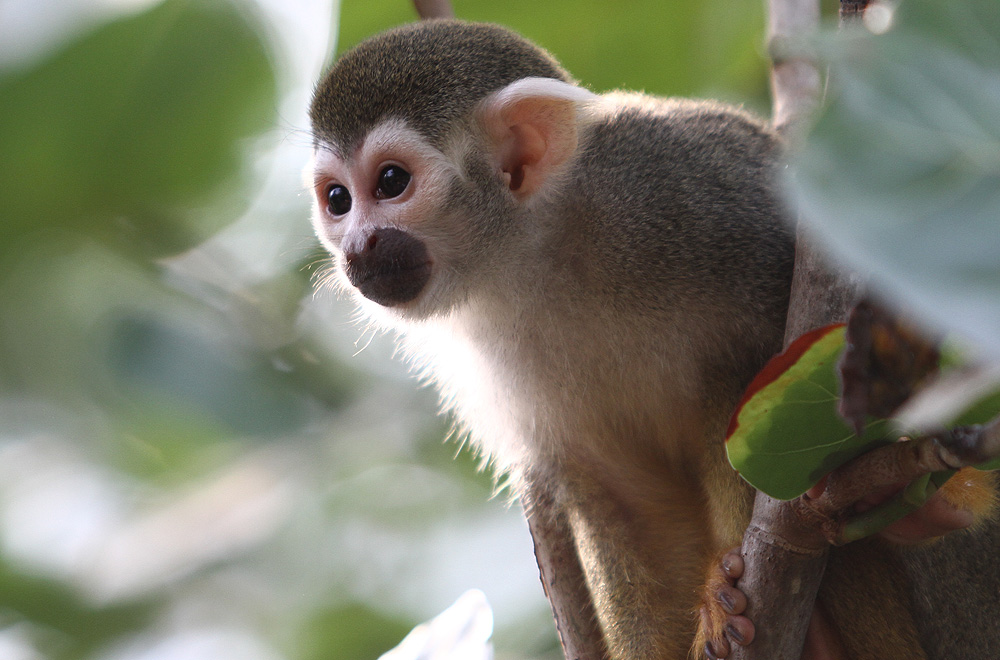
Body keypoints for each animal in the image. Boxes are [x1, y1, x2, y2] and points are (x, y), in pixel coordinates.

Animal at [308, 18, 996, 656]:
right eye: (338, 199)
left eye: (391, 183)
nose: (358, 249)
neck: (534, 254)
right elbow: (613, 493)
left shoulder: (686, 188)